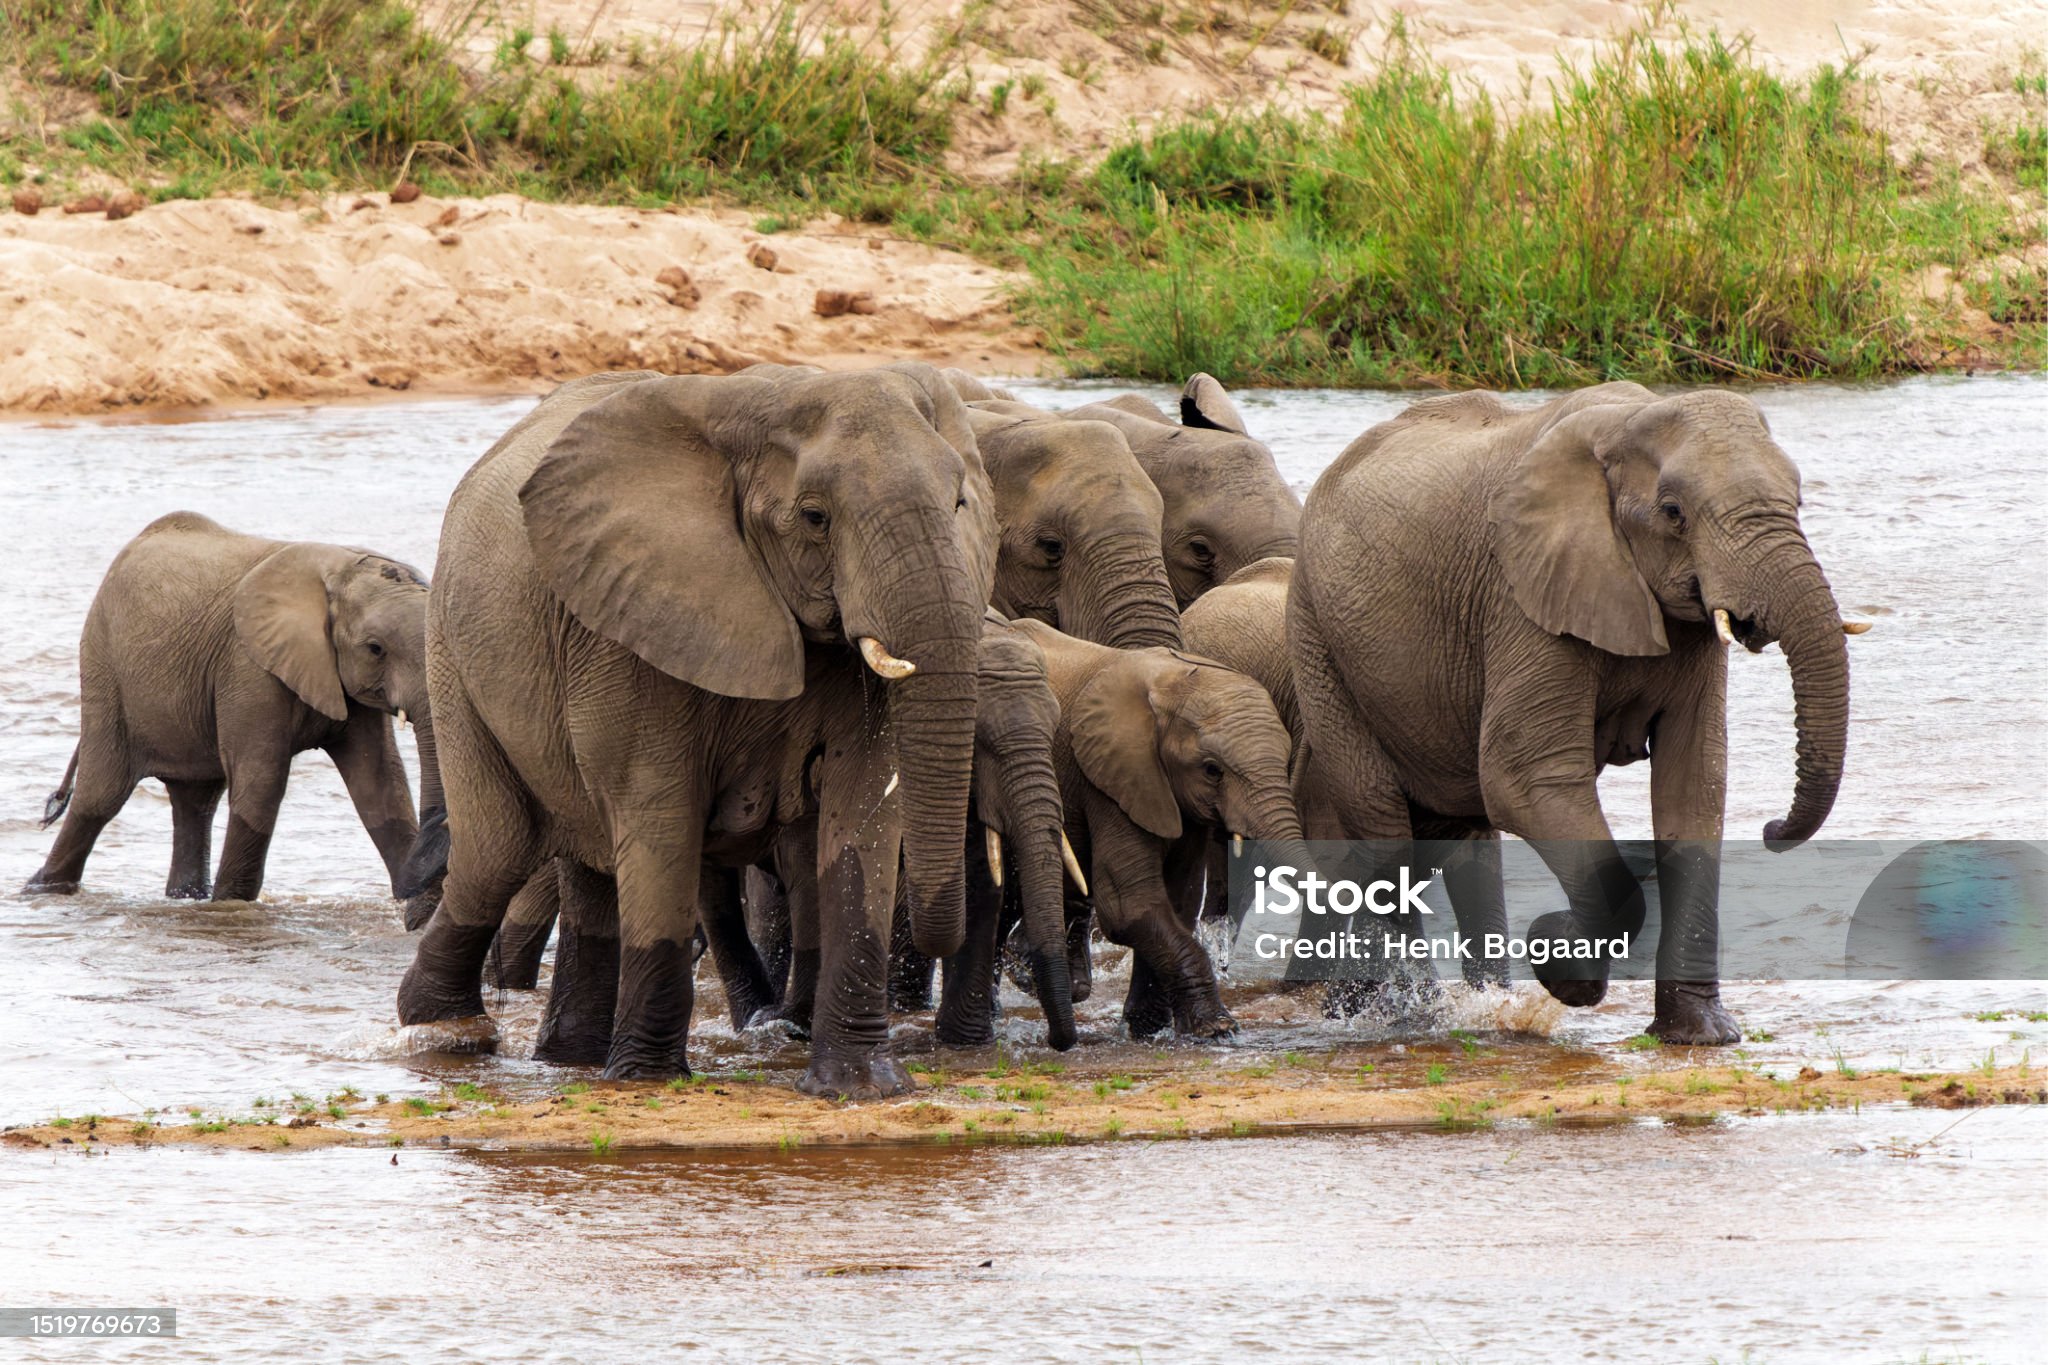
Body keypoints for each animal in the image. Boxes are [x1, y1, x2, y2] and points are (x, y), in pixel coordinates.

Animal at [27, 511, 436, 908]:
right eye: (375, 648)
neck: (339, 569)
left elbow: (380, 783)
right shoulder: (247, 666)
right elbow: (261, 782)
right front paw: (230, 902)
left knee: (195, 802)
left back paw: (186, 899)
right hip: (104, 667)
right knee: (99, 797)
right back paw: (40, 890)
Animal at [393, 366, 999, 1096]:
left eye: (960, 503)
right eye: (815, 517)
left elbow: (862, 811)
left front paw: (863, 1086)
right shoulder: (629, 619)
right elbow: (661, 811)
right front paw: (649, 1082)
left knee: (586, 867)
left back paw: (569, 1059)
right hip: (455, 656)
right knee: (498, 849)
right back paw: (445, 1031)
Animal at [1015, 618, 1302, 1035]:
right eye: (1212, 770)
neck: (1174, 681)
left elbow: (1177, 901)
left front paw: (1148, 1026)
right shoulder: (1110, 780)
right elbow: (1129, 906)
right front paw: (1216, 1028)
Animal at [1294, 378, 1875, 1039]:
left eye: (1799, 499)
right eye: (1673, 512)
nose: (1774, 829)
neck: (1625, 423)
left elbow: (1693, 784)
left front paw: (1701, 1036)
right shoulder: (1522, 594)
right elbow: (1523, 778)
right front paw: (1557, 959)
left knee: (1450, 836)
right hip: (1318, 640)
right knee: (1387, 833)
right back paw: (1405, 1018)